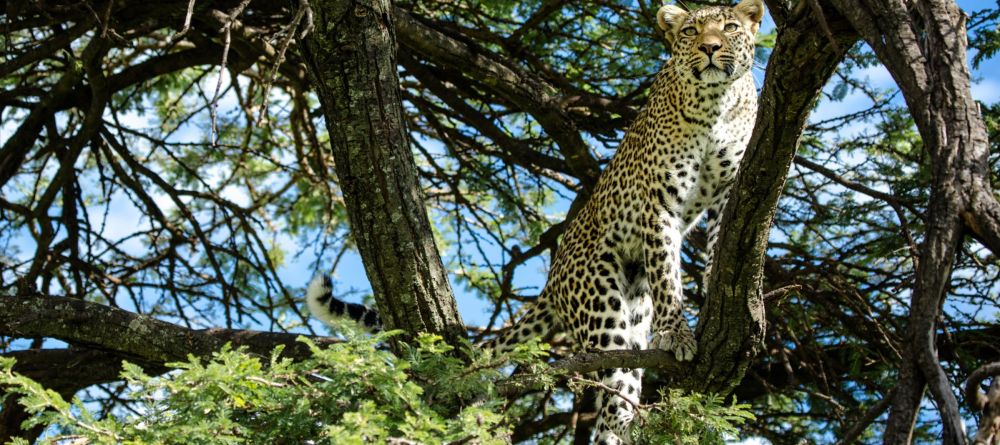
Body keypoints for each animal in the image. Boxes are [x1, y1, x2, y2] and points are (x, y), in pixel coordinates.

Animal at [308, 0, 760, 440]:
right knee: (612, 389)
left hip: (633, 310)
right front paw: (676, 333)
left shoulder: (728, 192)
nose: (710, 48)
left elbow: (721, 242)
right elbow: (667, 276)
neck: (716, 102)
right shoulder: (659, 204)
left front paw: (717, 288)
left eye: (731, 28)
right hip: (602, 305)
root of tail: (553, 278)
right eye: (690, 31)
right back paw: (630, 419)